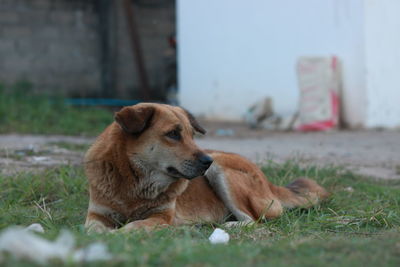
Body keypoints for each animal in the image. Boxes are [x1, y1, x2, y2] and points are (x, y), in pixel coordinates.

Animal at [83, 103, 328, 233]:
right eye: (173, 134)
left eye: (192, 135)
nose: (206, 161)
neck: (136, 180)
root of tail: (268, 182)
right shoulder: (96, 214)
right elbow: (91, 228)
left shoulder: (161, 216)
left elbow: (134, 226)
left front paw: (117, 234)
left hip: (222, 169)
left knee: (252, 221)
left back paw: (223, 226)